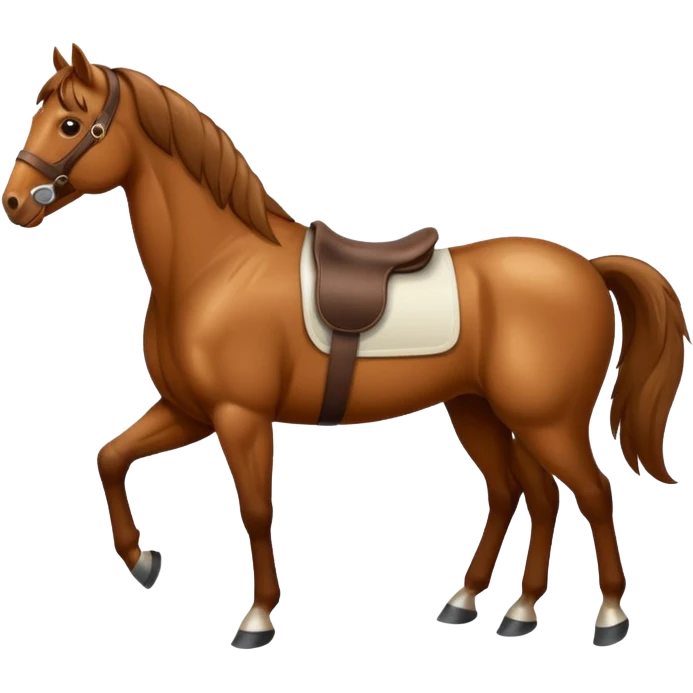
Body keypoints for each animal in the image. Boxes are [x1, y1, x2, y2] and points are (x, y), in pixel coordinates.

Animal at [3, 42, 689, 650]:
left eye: (70, 123)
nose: (13, 203)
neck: (219, 267)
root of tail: (589, 268)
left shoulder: (239, 418)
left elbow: (257, 510)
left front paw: (257, 620)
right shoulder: (189, 412)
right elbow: (111, 458)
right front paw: (142, 560)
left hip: (547, 420)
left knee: (591, 494)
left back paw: (607, 617)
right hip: (477, 410)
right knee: (524, 494)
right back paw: (497, 608)